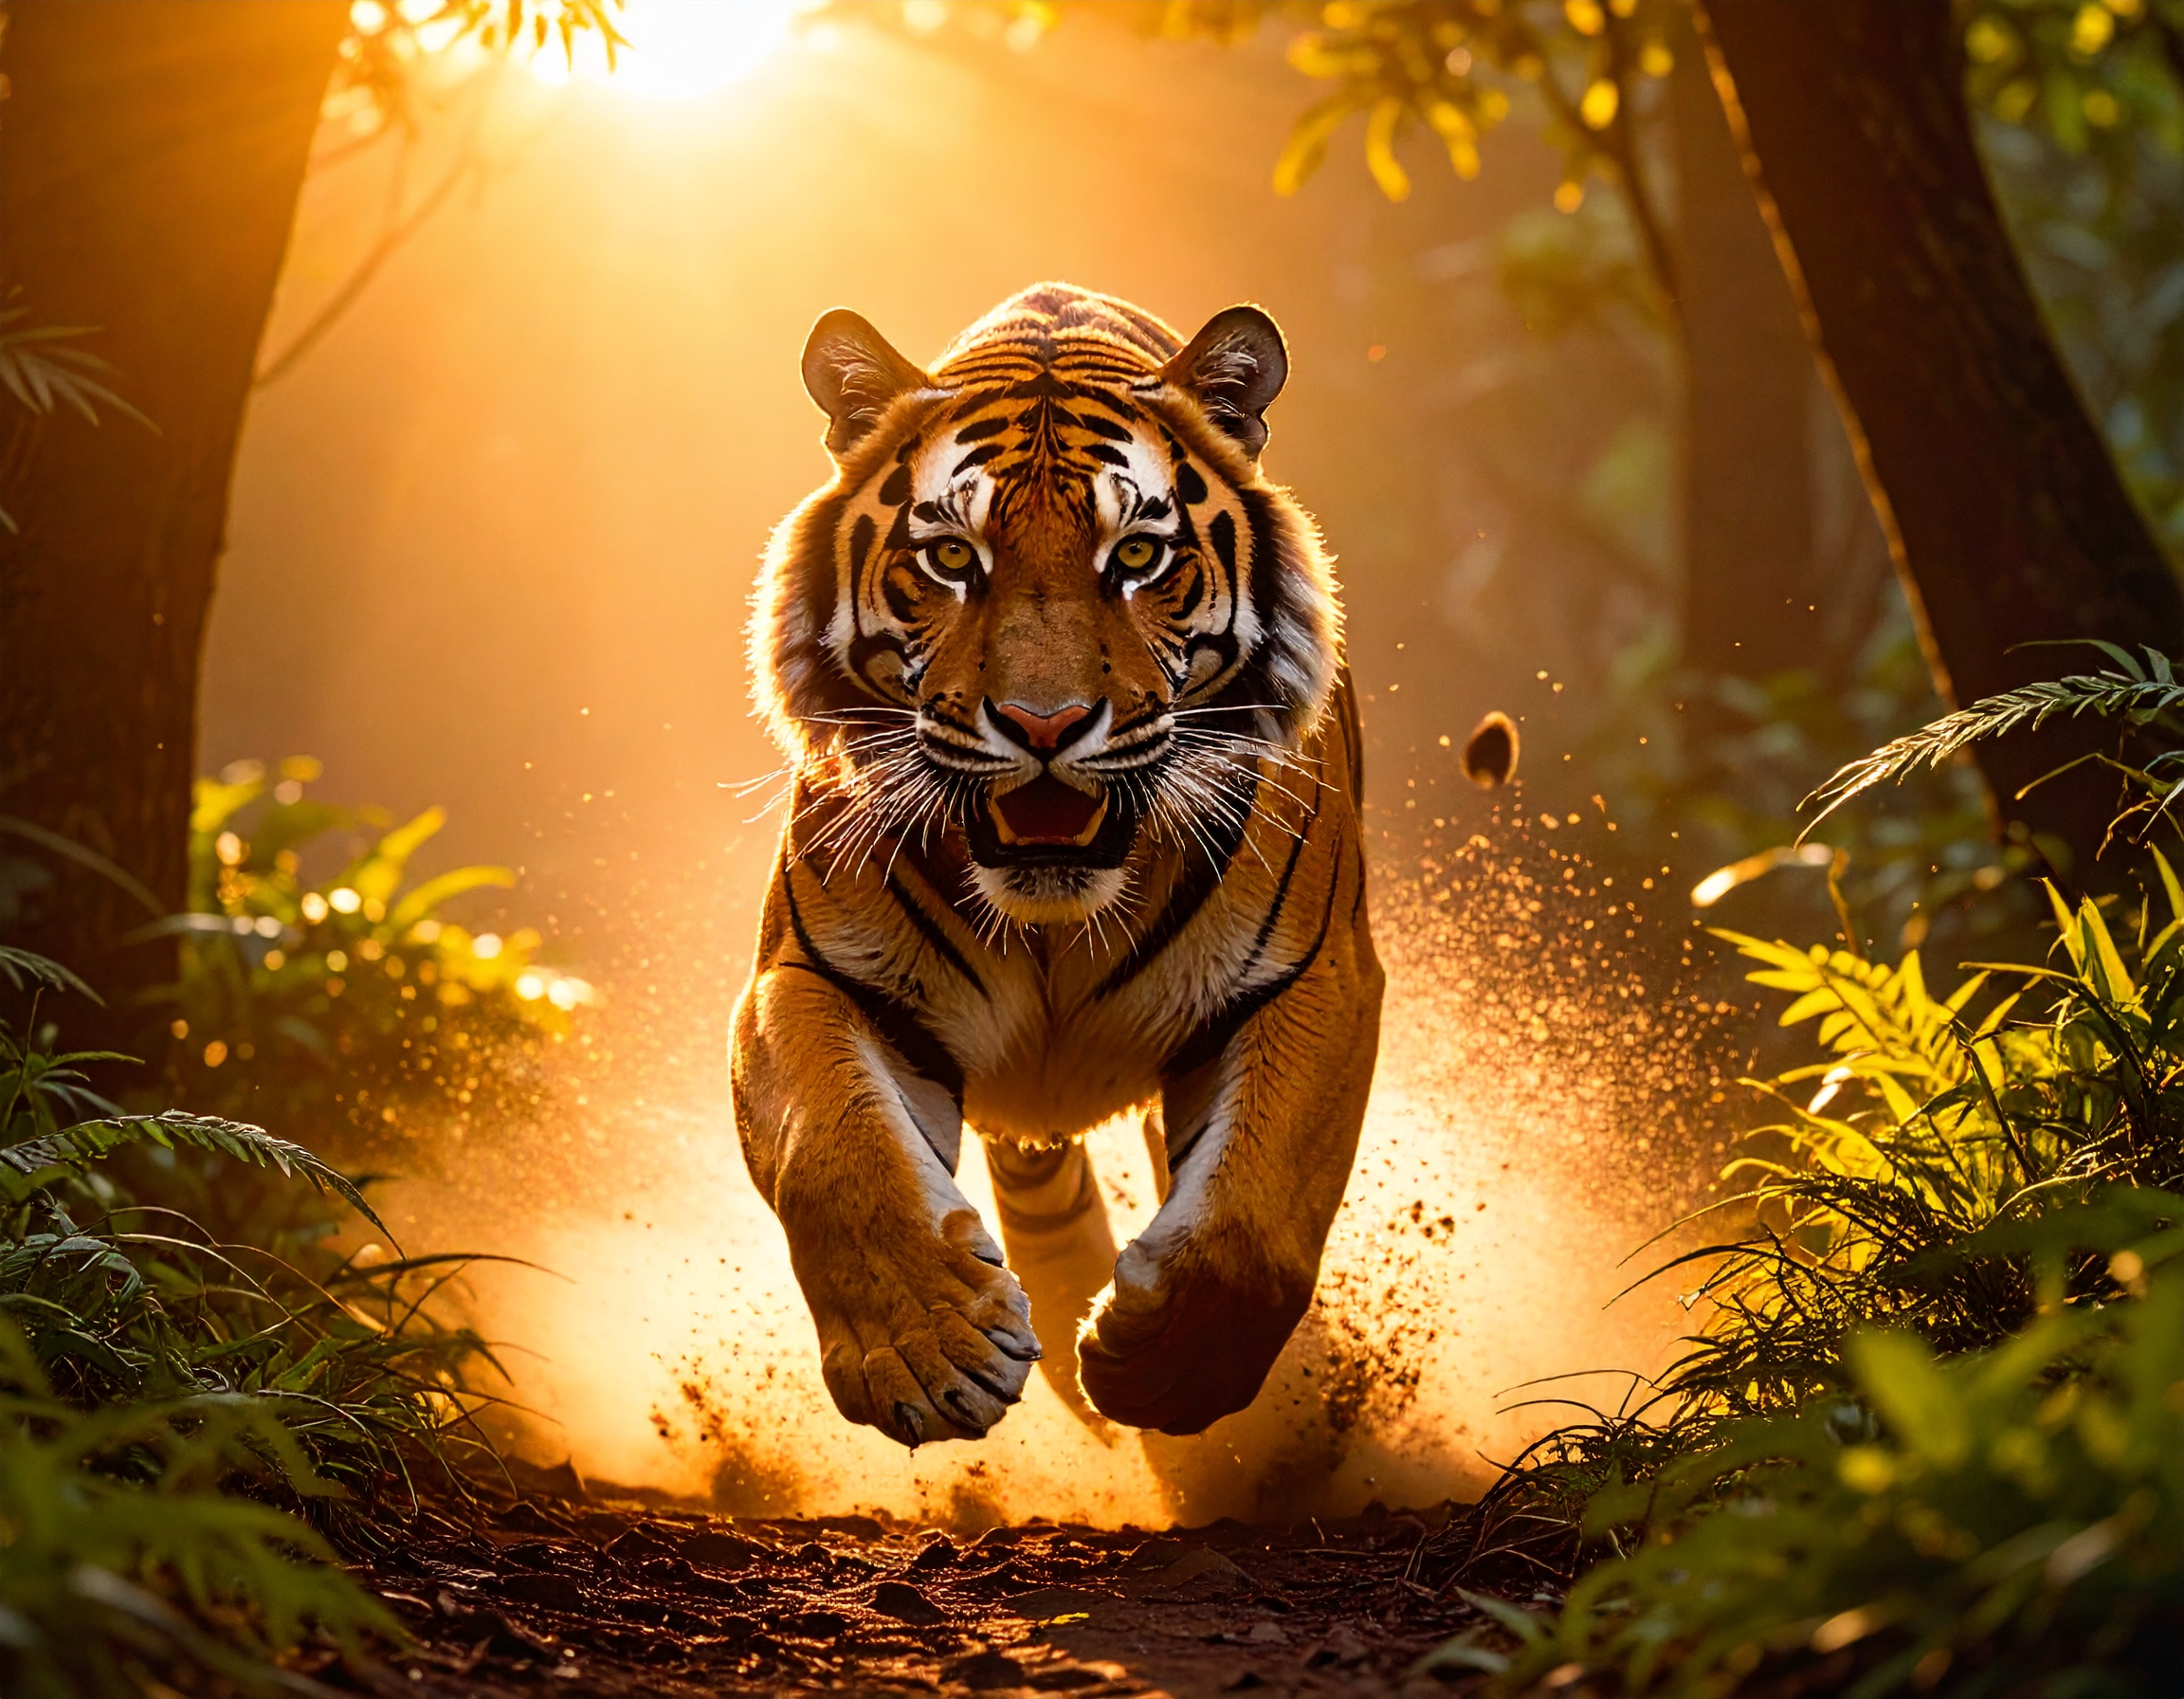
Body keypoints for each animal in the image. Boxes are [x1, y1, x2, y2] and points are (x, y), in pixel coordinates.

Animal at [732, 282, 1383, 1446]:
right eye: (952, 560)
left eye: (1137, 558)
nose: (1045, 724)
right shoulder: (809, 975)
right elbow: (835, 1156)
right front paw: (931, 1356)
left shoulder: (1318, 979)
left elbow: (1258, 1211)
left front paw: (1166, 1369)